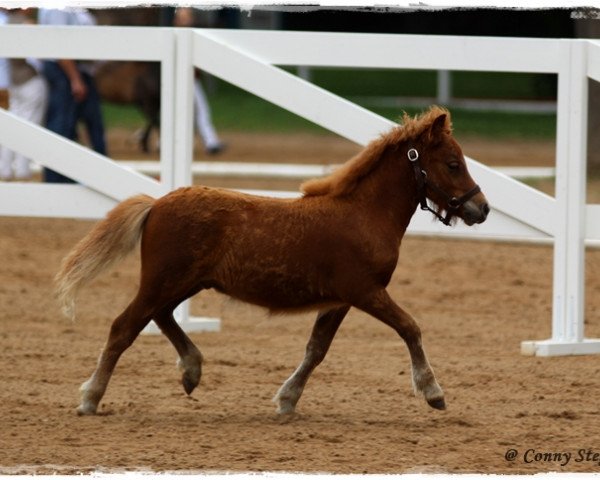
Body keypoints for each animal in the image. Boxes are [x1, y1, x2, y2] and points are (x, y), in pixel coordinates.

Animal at [55, 106, 488, 416]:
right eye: (452, 163)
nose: (481, 208)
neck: (364, 214)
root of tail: (157, 203)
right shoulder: (365, 291)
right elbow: (410, 328)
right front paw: (433, 392)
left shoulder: (338, 300)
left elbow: (316, 350)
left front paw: (287, 400)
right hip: (163, 280)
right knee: (124, 326)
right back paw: (91, 398)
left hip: (184, 282)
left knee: (160, 316)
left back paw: (191, 371)